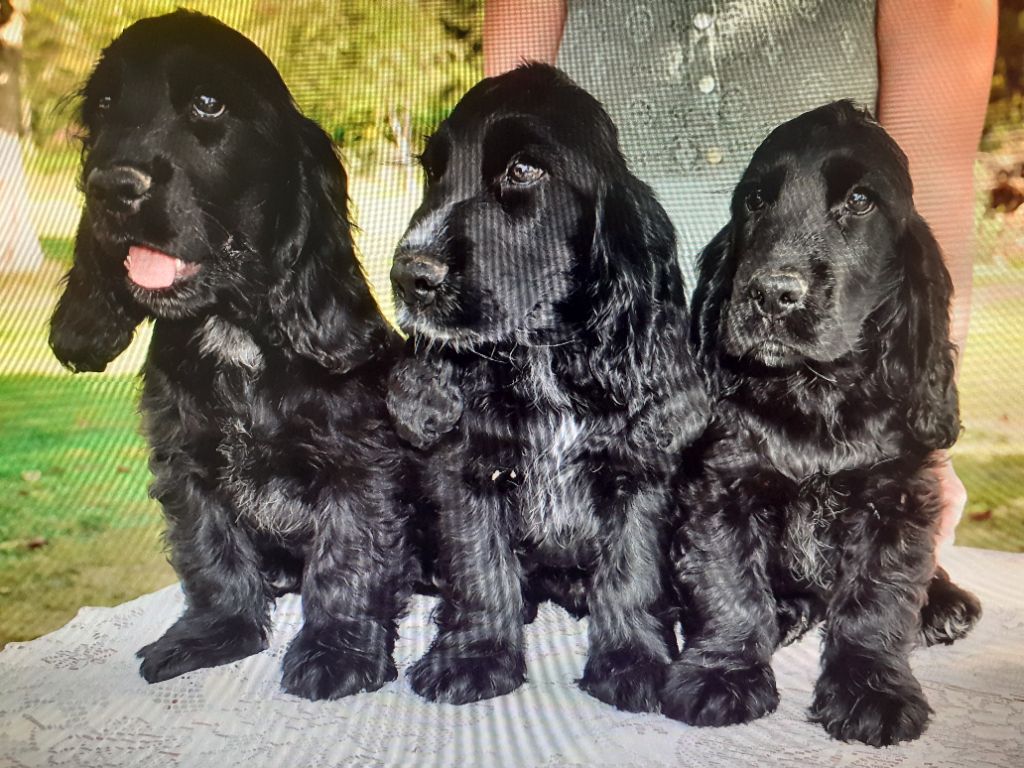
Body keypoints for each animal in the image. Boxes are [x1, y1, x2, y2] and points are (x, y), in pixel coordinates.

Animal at [48, 10, 415, 704]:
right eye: (104, 105)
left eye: (208, 102)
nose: (111, 187)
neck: (232, 330)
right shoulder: (186, 465)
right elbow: (210, 554)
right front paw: (216, 635)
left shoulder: (357, 463)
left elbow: (347, 558)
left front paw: (337, 652)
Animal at [387, 63, 708, 712]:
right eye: (432, 173)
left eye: (524, 170)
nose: (408, 277)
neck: (542, 357)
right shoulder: (469, 469)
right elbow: (480, 567)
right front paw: (475, 657)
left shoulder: (639, 469)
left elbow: (632, 570)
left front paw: (634, 662)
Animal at [659, 100, 978, 745]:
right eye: (755, 201)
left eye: (859, 201)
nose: (770, 294)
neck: (814, 391)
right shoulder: (720, 489)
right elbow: (730, 586)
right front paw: (720, 673)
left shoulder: (896, 498)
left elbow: (876, 601)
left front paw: (872, 690)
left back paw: (943, 603)